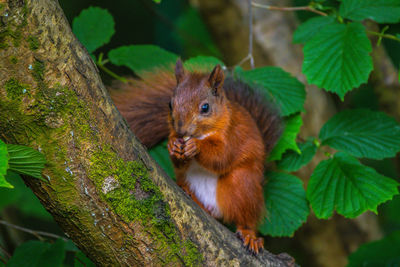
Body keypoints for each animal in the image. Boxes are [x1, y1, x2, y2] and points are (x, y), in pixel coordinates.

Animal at [110, 60, 282, 255]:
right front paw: (173, 146)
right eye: (170, 104)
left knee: (247, 217)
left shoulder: (233, 136)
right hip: (190, 181)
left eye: (205, 107)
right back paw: (189, 194)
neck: (201, 134)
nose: (180, 129)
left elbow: (222, 157)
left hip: (243, 186)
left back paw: (249, 235)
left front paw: (196, 147)